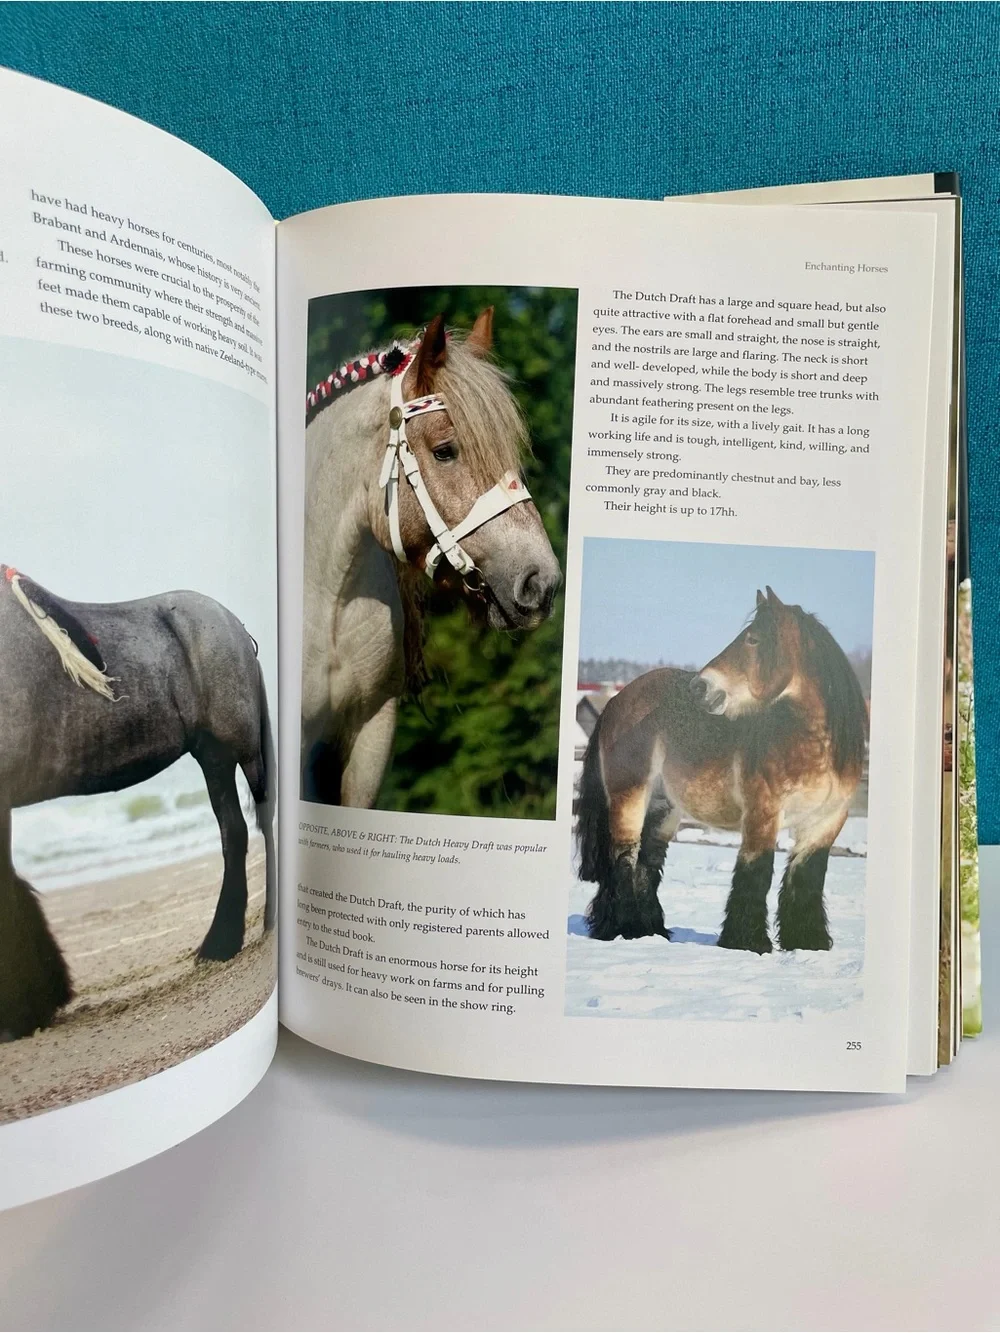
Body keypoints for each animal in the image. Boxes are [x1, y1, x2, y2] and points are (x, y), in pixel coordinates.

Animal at [0, 567, 275, 1040]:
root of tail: (232, 624)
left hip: (236, 750)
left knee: (261, 825)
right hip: (213, 756)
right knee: (235, 832)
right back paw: (222, 943)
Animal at [576, 587, 868, 953]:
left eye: (753, 639)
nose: (700, 687)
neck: (810, 744)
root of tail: (618, 700)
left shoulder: (825, 823)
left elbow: (807, 878)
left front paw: (807, 942)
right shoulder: (763, 813)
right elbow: (755, 871)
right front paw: (747, 943)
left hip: (663, 808)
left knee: (647, 863)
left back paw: (649, 931)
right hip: (629, 796)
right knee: (624, 858)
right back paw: (625, 930)